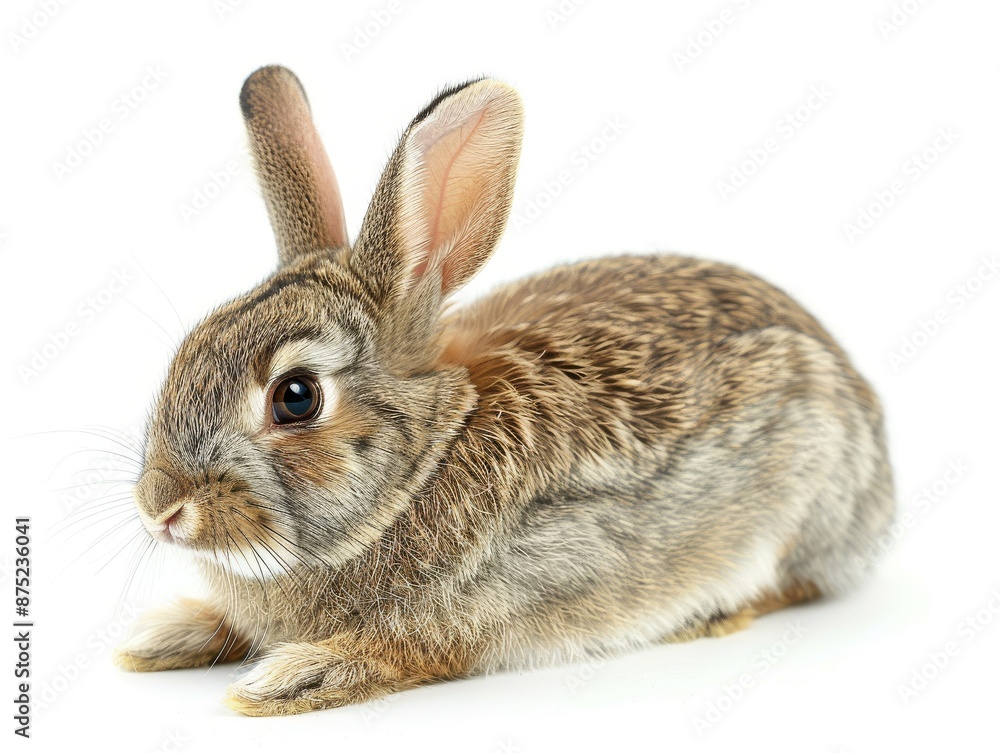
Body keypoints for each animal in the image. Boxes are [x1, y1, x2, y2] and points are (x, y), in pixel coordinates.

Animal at [113, 65, 895, 716]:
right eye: (190, 348)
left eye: (296, 397)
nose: (161, 508)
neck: (422, 468)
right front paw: (165, 634)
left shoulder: (485, 607)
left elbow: (402, 652)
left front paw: (289, 678)